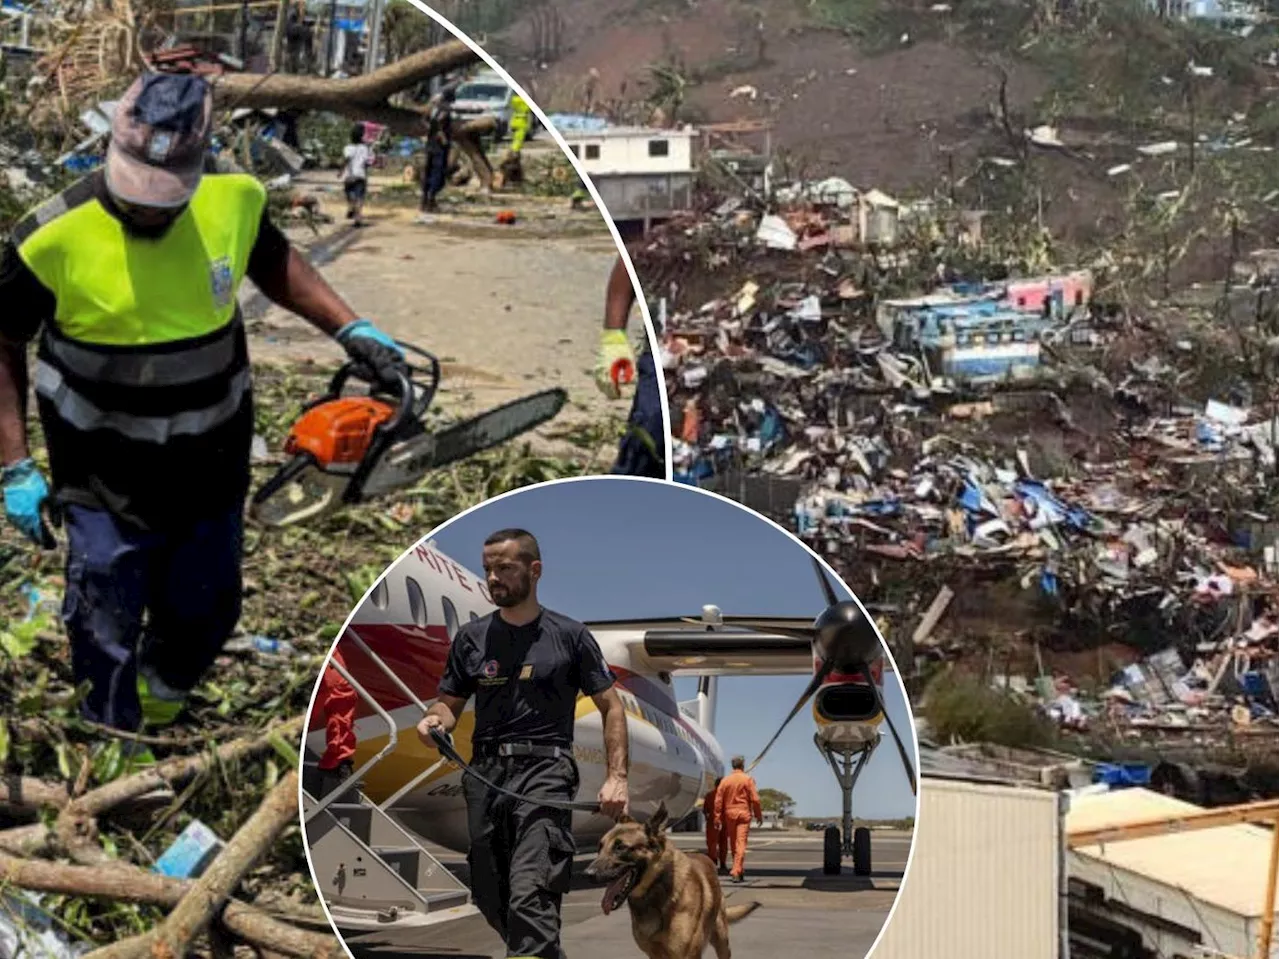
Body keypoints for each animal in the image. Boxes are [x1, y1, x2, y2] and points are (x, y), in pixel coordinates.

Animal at [586, 798, 757, 957]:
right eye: (600, 847)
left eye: (620, 847)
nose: (588, 874)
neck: (656, 890)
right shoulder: (654, 954)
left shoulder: (687, 954)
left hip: (721, 940)